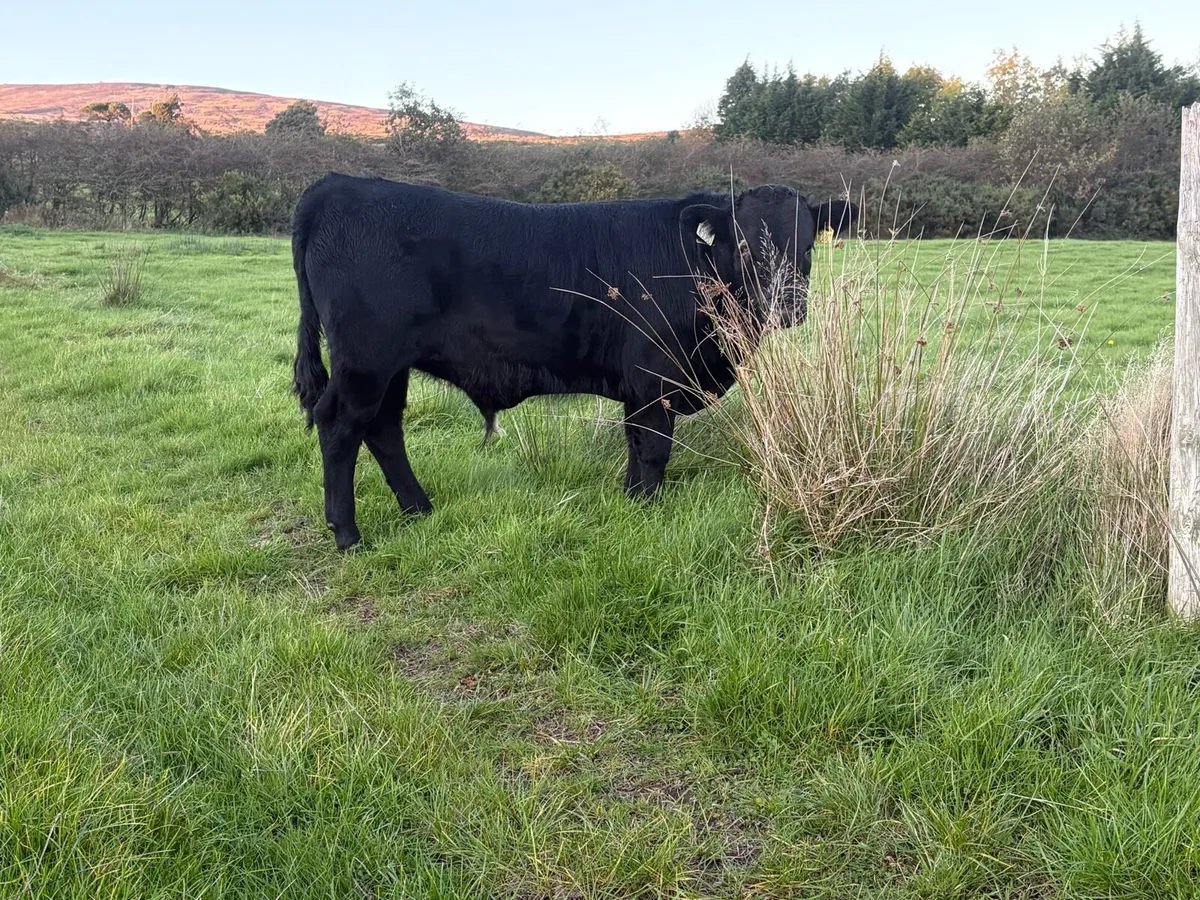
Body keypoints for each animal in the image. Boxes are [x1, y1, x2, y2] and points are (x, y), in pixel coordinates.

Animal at [291, 172, 855, 549]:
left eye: (808, 245)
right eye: (743, 244)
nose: (787, 305)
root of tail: (340, 184)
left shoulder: (639, 385)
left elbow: (635, 443)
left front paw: (631, 499)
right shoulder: (655, 375)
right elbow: (654, 448)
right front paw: (647, 508)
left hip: (391, 366)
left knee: (383, 428)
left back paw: (419, 509)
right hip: (366, 360)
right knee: (340, 426)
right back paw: (348, 533)